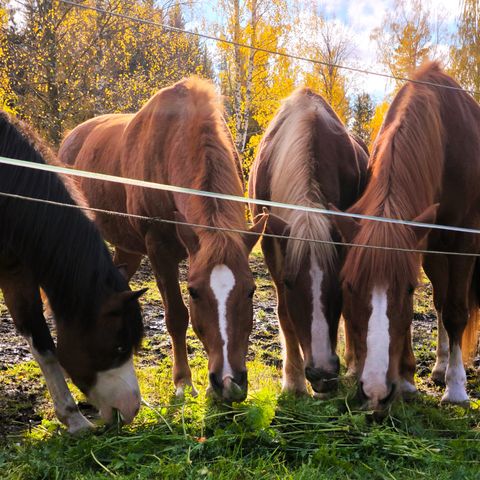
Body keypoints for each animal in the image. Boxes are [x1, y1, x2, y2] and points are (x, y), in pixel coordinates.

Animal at [59, 78, 266, 402]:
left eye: (251, 290)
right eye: (194, 292)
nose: (228, 381)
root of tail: (70, 137)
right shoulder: (159, 251)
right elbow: (177, 316)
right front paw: (183, 382)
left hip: (126, 249)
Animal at [248, 88, 368, 396]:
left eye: (337, 281)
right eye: (290, 282)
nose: (323, 373)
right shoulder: (272, 246)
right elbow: (284, 314)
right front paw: (293, 382)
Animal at [332, 61, 480, 412]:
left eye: (409, 289)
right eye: (350, 286)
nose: (374, 391)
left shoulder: (464, 242)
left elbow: (457, 311)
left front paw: (456, 389)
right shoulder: (423, 242)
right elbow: (434, 309)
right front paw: (408, 380)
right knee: (440, 302)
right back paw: (439, 367)